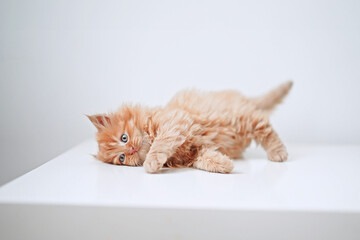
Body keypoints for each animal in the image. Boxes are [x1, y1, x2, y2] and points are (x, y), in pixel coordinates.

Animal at [88, 81, 292, 173]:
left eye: (124, 138)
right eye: (121, 158)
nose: (131, 149)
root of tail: (243, 98)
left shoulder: (175, 122)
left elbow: (160, 144)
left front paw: (151, 162)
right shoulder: (195, 151)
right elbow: (206, 159)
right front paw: (224, 164)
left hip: (243, 119)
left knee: (267, 129)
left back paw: (278, 153)